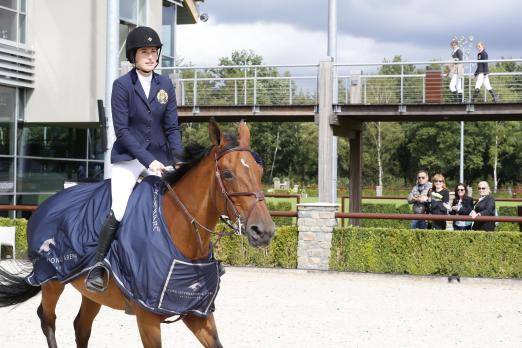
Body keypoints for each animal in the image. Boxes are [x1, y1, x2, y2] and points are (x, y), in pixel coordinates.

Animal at [0, 118, 276, 346]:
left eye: (259, 171)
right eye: (228, 174)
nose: (264, 231)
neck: (179, 233)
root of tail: (45, 204)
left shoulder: (197, 313)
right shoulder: (147, 318)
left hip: (92, 293)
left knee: (81, 326)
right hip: (51, 280)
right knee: (47, 319)